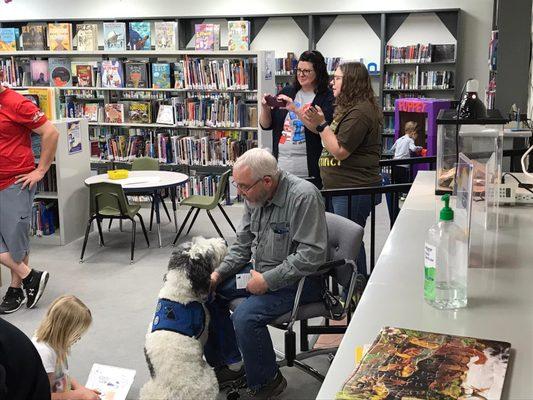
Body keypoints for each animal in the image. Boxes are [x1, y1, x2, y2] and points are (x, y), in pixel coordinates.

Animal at [139, 238, 227, 400]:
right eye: (210, 251)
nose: (223, 241)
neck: (177, 292)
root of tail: (171, 394)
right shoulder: (205, 324)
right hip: (209, 382)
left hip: (147, 389)